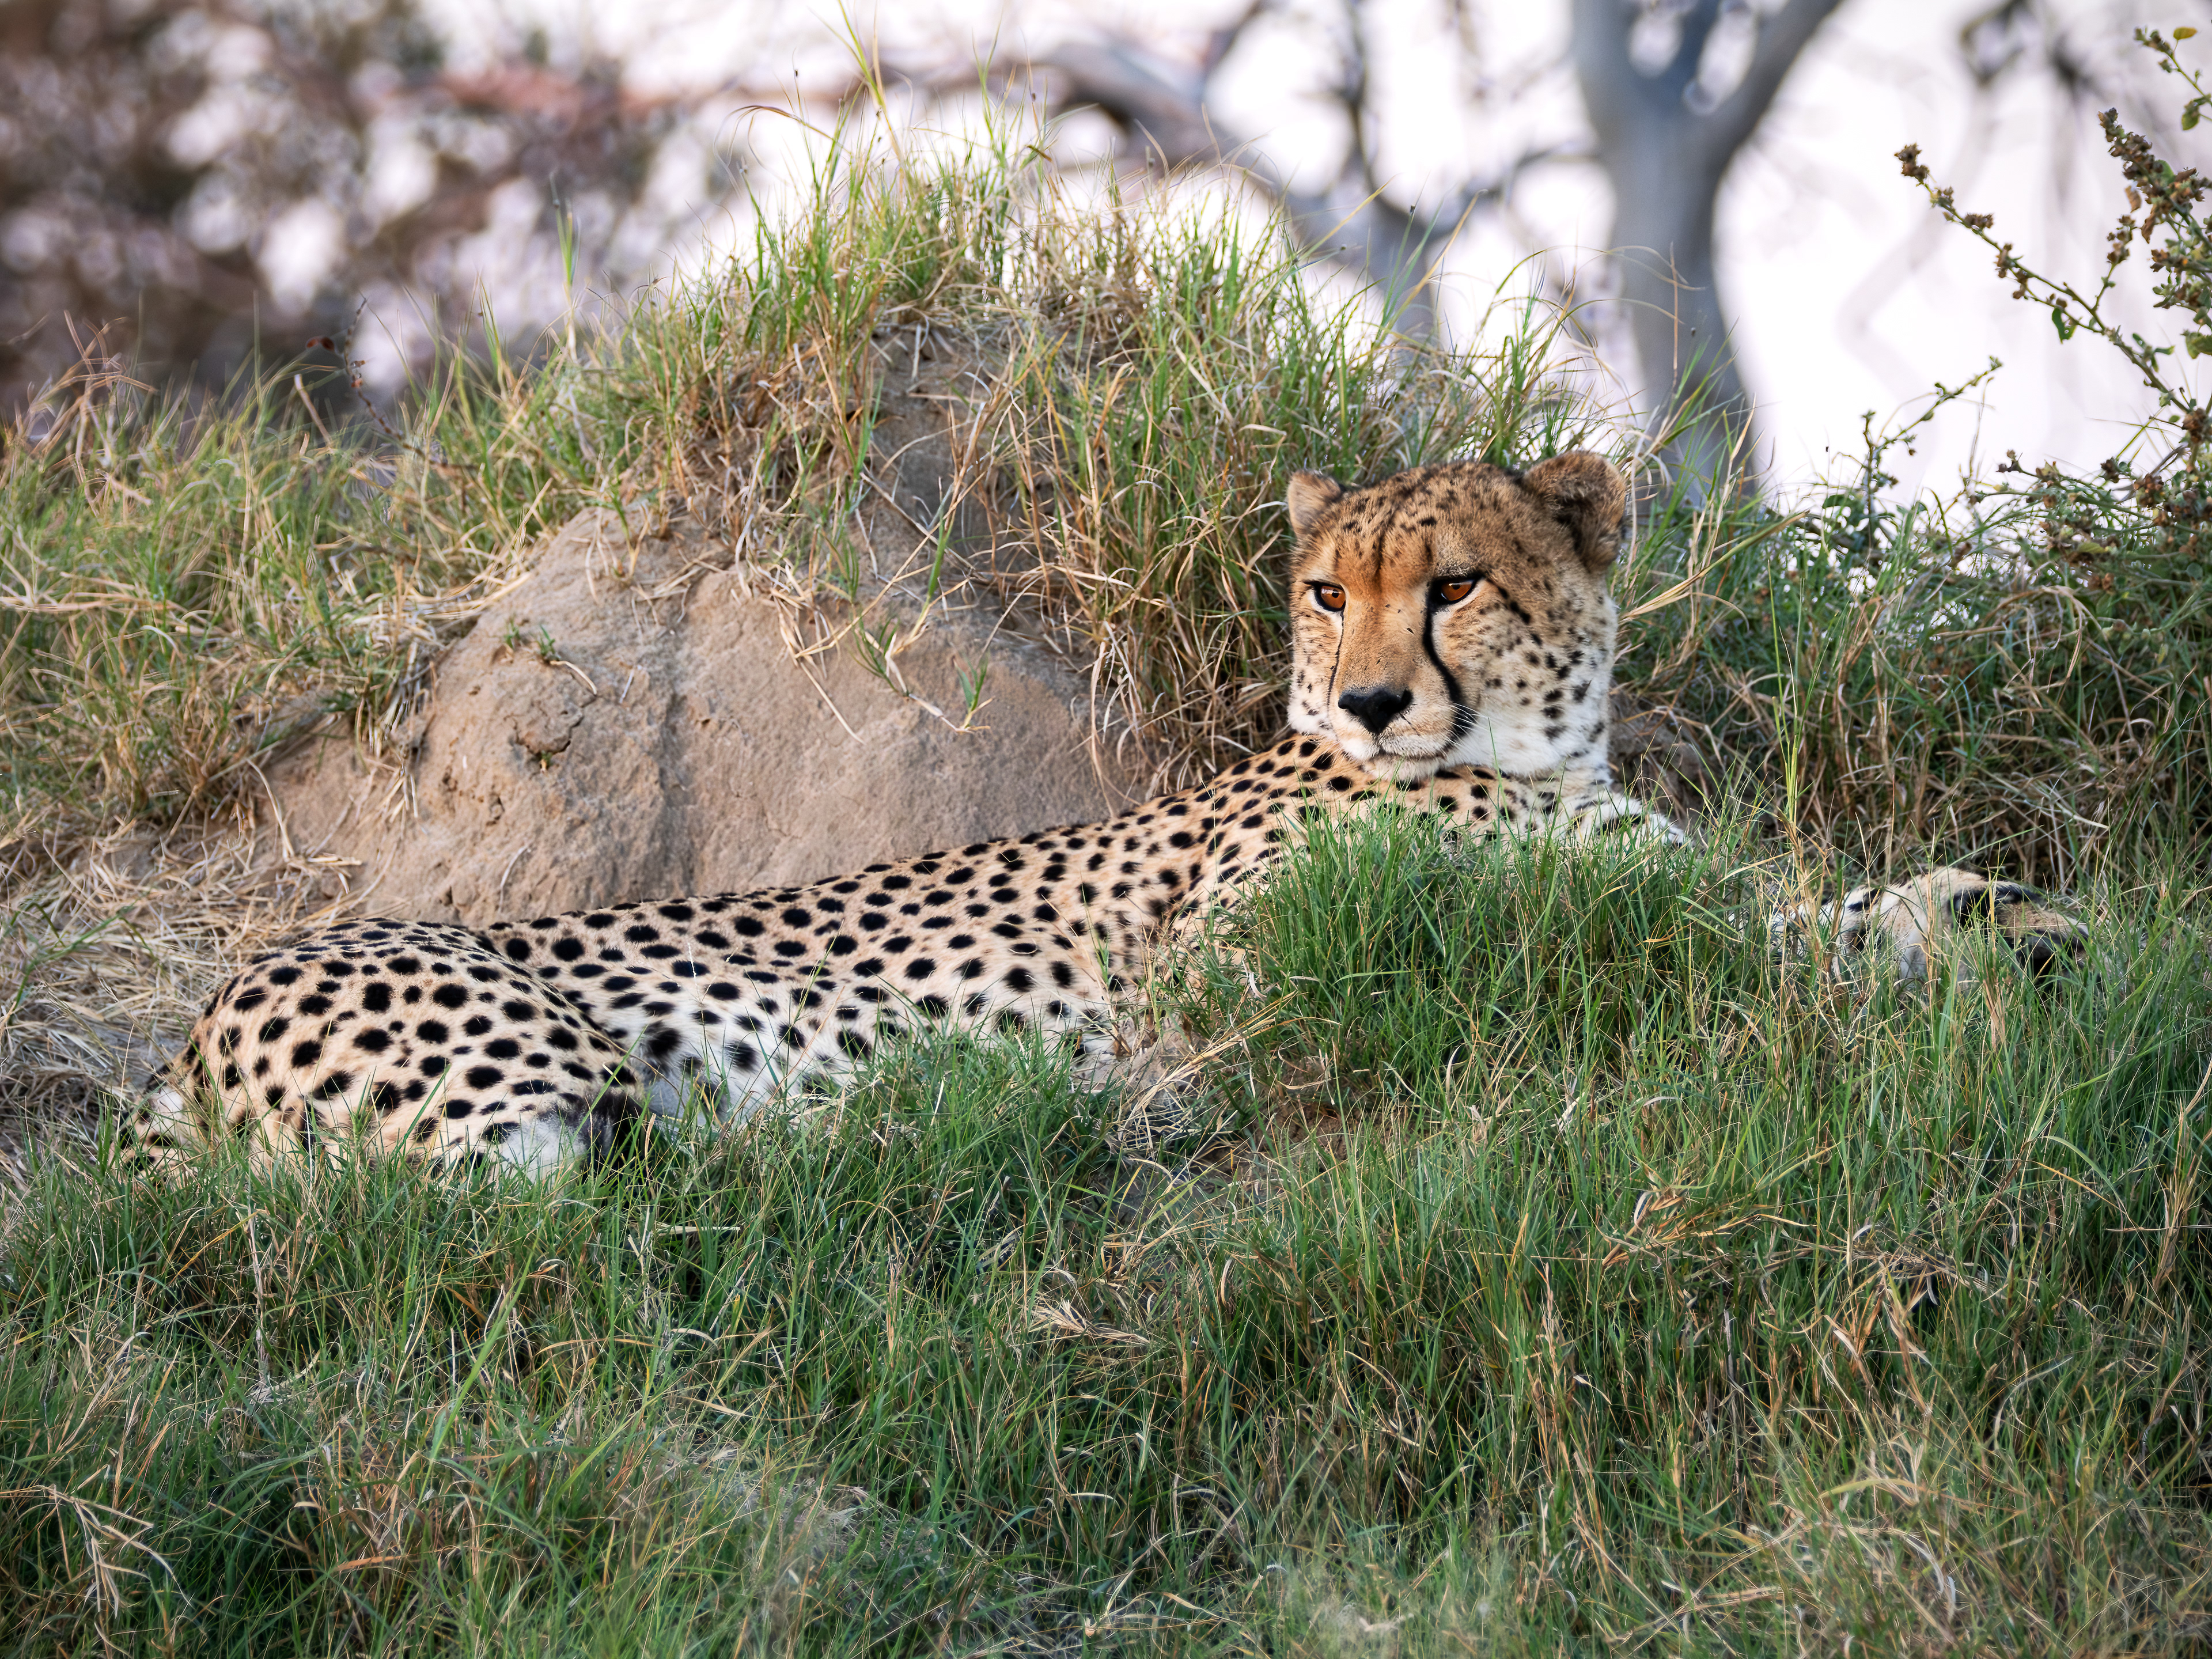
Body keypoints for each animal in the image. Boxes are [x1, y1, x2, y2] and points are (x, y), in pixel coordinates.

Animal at [115, 451, 2078, 1174]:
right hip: (530, 1063)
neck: (1525, 760)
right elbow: (1645, 948)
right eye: (1323, 594)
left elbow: (1794, 913)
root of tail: (185, 1041)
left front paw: (2010, 920)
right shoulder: (1254, 968)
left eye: (1448, 586)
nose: (1372, 703)